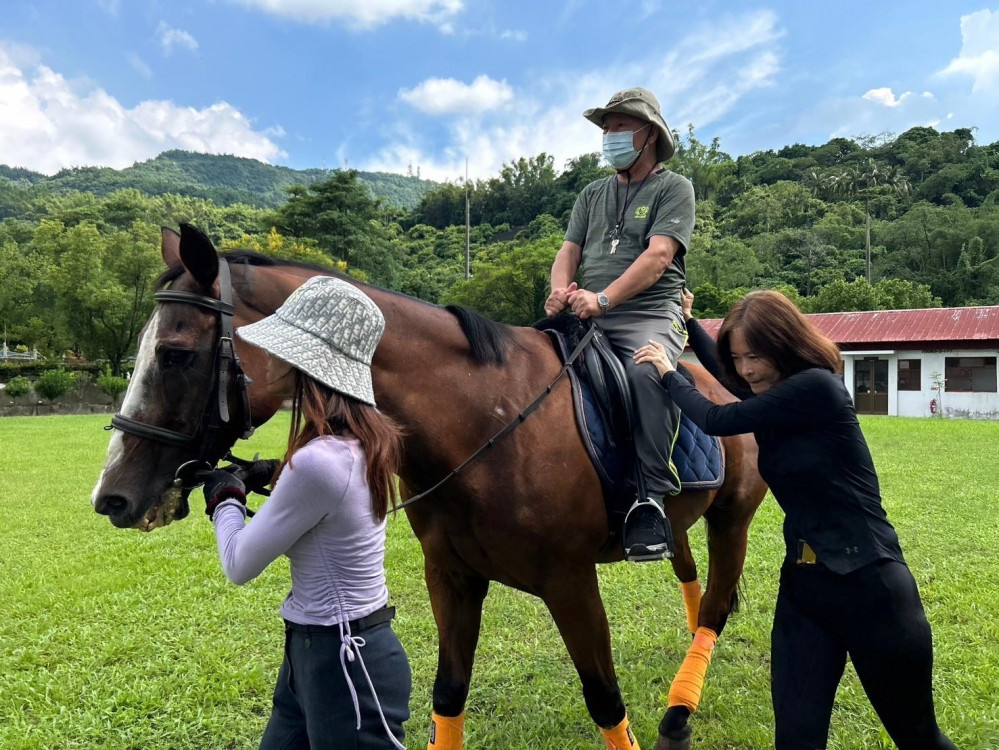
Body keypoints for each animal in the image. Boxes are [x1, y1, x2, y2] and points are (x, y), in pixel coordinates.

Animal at [94, 226, 764, 748]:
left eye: (176, 354)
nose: (112, 497)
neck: (487, 422)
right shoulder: (452, 576)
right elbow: (448, 694)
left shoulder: (570, 582)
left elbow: (605, 702)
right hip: (682, 520)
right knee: (694, 581)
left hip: (732, 516)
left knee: (715, 605)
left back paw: (679, 711)